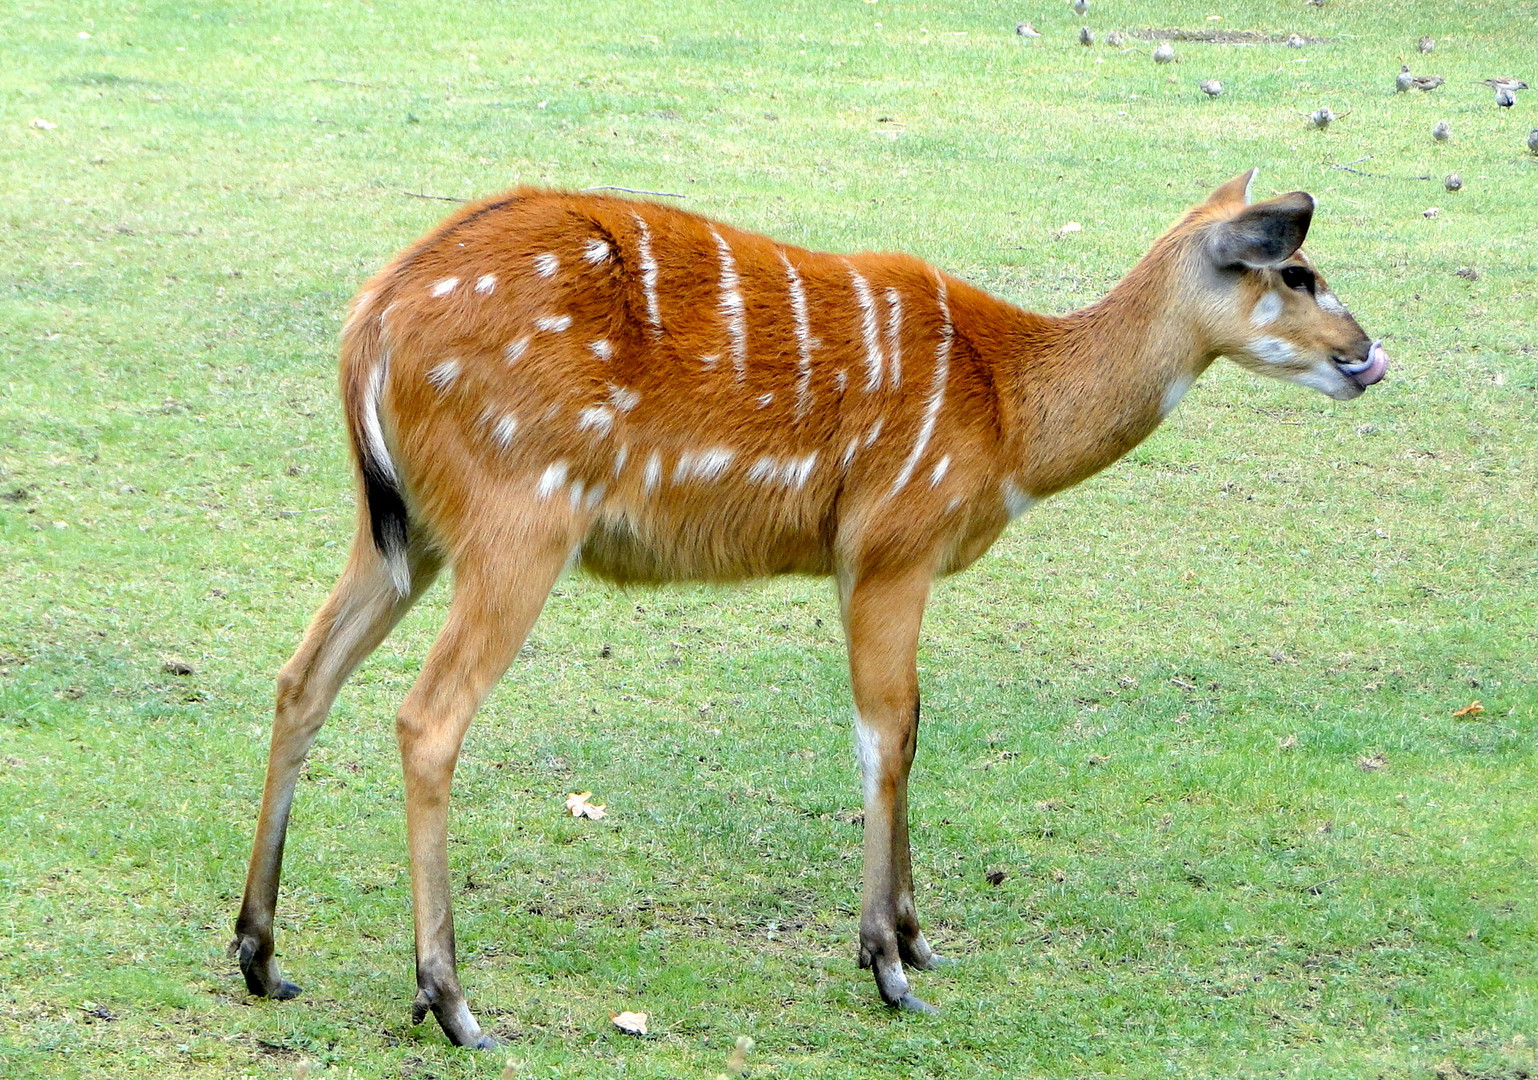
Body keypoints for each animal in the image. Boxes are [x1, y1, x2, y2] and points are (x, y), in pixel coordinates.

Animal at [230, 169, 1396, 1046]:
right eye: (1294, 270)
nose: (1368, 356)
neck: (1012, 411)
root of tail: (370, 323)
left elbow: (910, 725)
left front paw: (920, 938)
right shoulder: (888, 548)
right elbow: (887, 731)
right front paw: (888, 966)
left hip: (403, 533)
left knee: (301, 678)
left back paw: (260, 953)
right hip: (520, 523)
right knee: (427, 717)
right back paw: (453, 1004)